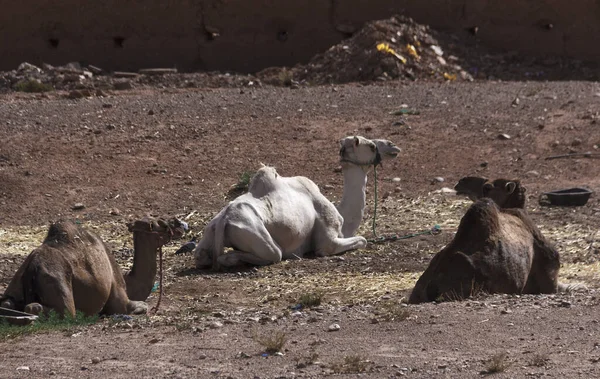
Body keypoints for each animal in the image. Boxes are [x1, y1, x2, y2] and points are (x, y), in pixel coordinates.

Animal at [0, 217, 184, 318]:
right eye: (160, 223)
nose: (179, 225)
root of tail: (33, 266)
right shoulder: (120, 302)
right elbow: (141, 306)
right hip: (57, 283)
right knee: (54, 310)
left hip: (16, 281)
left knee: (8, 304)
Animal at [193, 137, 398, 270]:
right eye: (371, 145)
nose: (393, 146)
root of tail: (223, 220)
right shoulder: (327, 241)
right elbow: (361, 240)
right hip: (255, 234)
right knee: (273, 254)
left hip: (209, 231)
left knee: (201, 257)